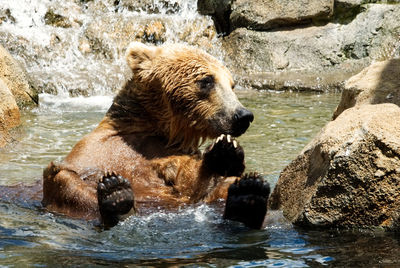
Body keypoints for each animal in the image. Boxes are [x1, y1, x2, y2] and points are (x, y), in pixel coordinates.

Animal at [42, 42, 270, 228]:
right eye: (207, 80)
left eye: (232, 84)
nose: (242, 115)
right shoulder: (100, 149)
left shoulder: (169, 156)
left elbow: (188, 181)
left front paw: (226, 150)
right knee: (68, 183)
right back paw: (117, 196)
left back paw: (249, 196)